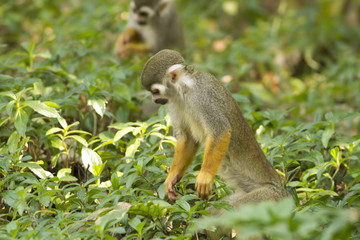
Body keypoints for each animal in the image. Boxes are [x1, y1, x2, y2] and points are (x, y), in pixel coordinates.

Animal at [141, 49, 290, 238]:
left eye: (155, 91)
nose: (154, 100)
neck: (185, 90)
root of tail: (285, 194)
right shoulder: (173, 102)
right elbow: (188, 139)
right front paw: (171, 178)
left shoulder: (204, 96)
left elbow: (220, 131)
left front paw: (204, 176)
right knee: (217, 212)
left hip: (269, 199)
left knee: (243, 213)